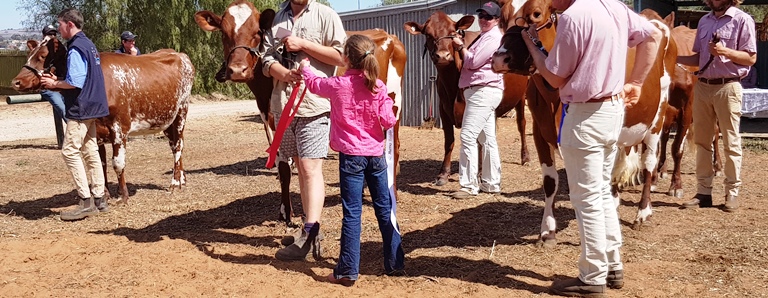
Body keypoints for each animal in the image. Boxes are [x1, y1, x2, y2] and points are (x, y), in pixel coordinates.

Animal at [12, 35, 195, 203]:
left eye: (42, 56)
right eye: (29, 54)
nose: (16, 82)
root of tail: (178, 54)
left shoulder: (120, 128)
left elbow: (117, 163)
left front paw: (123, 195)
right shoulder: (96, 131)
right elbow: (100, 164)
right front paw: (104, 194)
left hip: (181, 111)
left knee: (178, 146)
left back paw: (175, 183)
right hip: (167, 119)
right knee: (175, 145)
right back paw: (183, 179)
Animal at [404, 12, 532, 189]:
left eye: (453, 32)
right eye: (428, 34)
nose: (442, 55)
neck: (452, 83)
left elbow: (479, 142)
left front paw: (479, 174)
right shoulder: (443, 109)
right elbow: (449, 141)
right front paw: (443, 174)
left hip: (521, 97)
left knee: (521, 125)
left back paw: (525, 158)